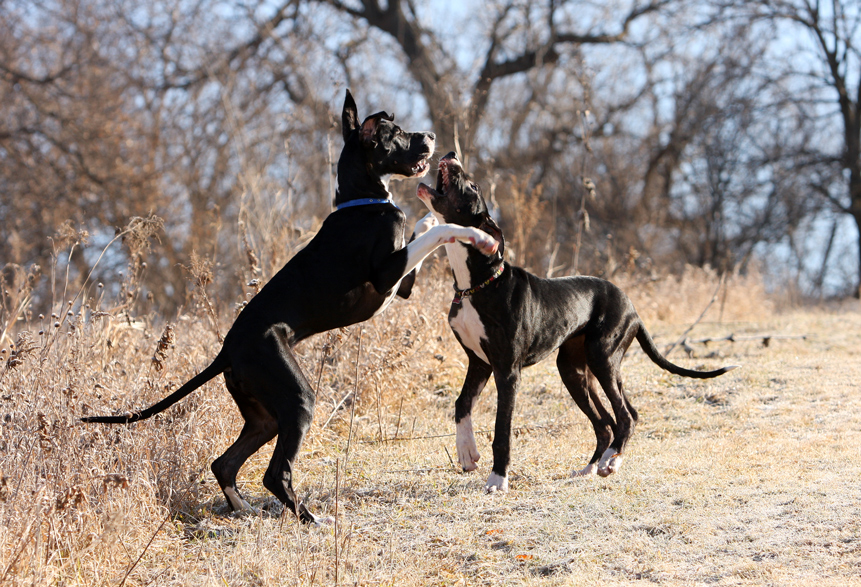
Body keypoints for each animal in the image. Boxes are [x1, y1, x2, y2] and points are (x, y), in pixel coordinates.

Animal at [82, 93, 498, 528]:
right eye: (398, 133)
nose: (432, 136)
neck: (362, 201)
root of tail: (225, 352)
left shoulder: (398, 284)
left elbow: (426, 226)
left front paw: (440, 213)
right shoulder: (386, 276)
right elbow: (439, 231)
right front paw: (477, 235)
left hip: (265, 416)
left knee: (224, 463)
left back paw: (245, 510)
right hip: (298, 401)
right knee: (274, 473)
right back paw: (311, 519)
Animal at [416, 152, 740, 492]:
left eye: (473, 185)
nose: (451, 154)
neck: (478, 283)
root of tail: (633, 307)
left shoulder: (507, 371)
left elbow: (502, 429)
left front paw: (497, 479)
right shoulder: (479, 363)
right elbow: (461, 404)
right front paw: (467, 453)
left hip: (603, 359)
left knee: (627, 416)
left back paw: (611, 462)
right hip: (574, 371)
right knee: (606, 423)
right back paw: (591, 467)